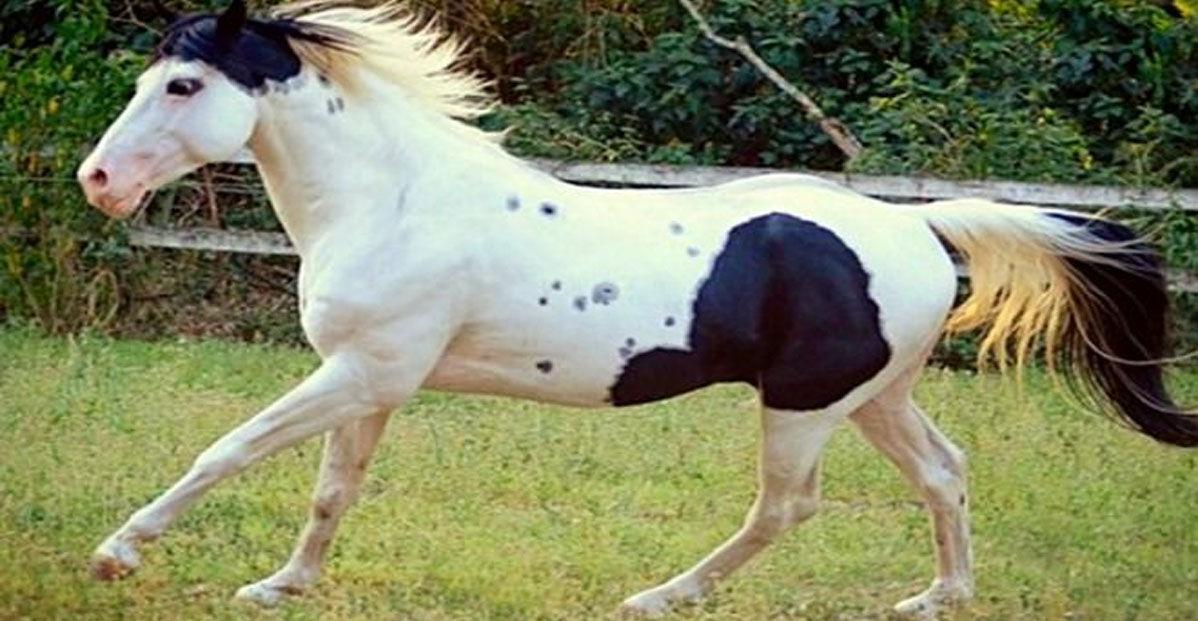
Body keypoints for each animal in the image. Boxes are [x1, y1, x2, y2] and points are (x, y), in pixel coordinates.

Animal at [77, 1, 1198, 618]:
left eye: (183, 86)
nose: (99, 181)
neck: (393, 199)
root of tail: (919, 227)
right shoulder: (375, 379)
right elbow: (330, 493)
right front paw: (281, 586)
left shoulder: (361, 371)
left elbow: (227, 450)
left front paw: (117, 553)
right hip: (875, 397)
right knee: (944, 473)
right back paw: (934, 598)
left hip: (802, 406)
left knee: (785, 507)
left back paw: (662, 595)